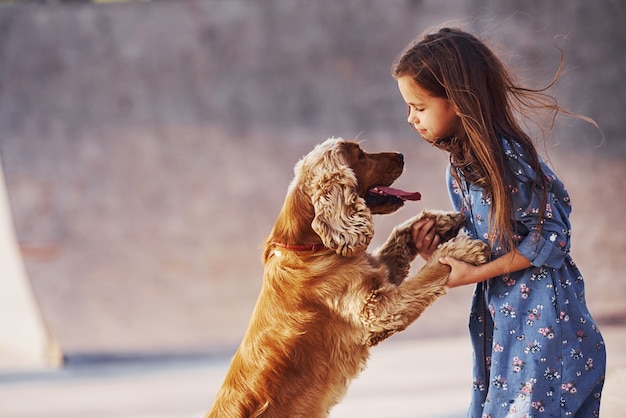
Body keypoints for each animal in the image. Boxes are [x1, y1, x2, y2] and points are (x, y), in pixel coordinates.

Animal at [205, 138, 488, 418]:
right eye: (360, 155)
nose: (401, 154)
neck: (309, 247)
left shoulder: (376, 272)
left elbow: (399, 236)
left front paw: (438, 221)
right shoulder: (376, 312)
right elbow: (426, 277)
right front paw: (459, 250)